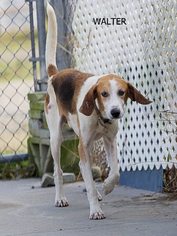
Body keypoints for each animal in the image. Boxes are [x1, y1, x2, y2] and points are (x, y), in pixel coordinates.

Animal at [45, 1, 151, 219]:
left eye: (122, 92)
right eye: (103, 94)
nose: (115, 112)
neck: (100, 115)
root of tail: (55, 75)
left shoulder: (109, 141)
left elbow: (116, 172)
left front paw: (107, 187)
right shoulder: (83, 147)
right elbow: (90, 185)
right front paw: (95, 210)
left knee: (82, 169)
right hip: (56, 138)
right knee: (58, 171)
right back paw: (60, 198)